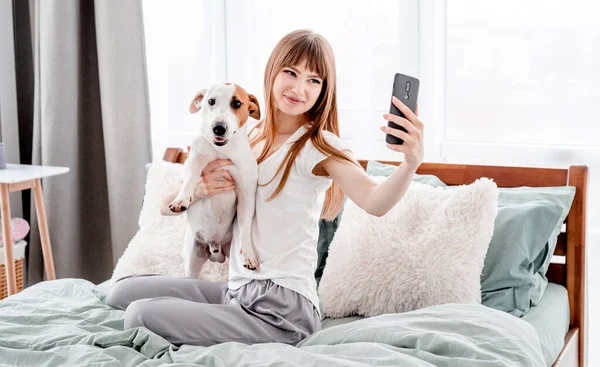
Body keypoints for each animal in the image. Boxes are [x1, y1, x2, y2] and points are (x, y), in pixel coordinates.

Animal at [170, 83, 262, 278]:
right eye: (211, 101)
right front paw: (181, 199)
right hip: (192, 262)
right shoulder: (193, 160)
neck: (222, 150)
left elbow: (245, 227)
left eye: (237, 103)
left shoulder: (247, 194)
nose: (218, 128)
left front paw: (249, 254)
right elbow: (190, 179)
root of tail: (214, 247)